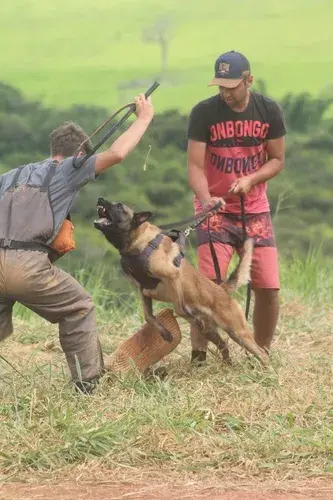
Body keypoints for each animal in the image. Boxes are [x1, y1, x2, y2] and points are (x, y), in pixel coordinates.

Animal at [93, 197, 270, 366]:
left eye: (119, 207)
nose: (100, 199)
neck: (137, 242)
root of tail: (222, 289)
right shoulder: (143, 290)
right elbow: (148, 316)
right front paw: (165, 333)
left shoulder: (173, 275)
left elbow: (179, 308)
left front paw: (182, 316)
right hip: (210, 331)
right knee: (223, 345)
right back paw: (227, 365)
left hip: (237, 332)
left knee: (261, 353)